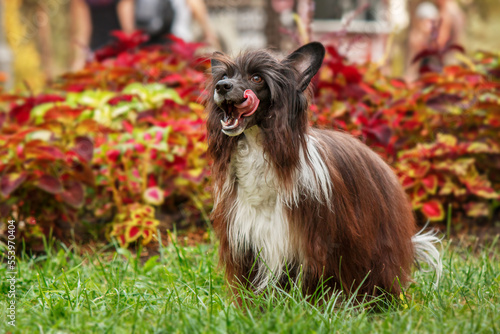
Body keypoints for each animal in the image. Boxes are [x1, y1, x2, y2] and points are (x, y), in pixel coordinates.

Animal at [206, 41, 442, 300]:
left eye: (256, 78)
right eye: (225, 76)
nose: (222, 87)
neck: (261, 151)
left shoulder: (316, 244)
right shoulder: (247, 242)